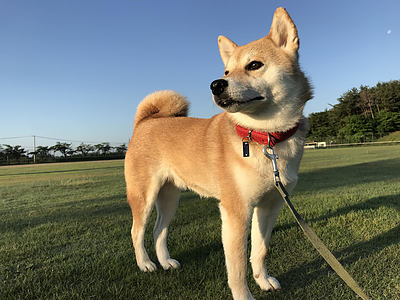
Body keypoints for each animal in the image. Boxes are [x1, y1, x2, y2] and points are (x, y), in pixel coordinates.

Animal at [125, 7, 312, 300]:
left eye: (254, 65)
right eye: (226, 70)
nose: (216, 84)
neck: (266, 138)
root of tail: (146, 122)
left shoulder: (270, 205)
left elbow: (260, 250)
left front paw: (263, 280)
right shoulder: (236, 211)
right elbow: (237, 267)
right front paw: (244, 295)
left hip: (170, 198)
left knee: (158, 231)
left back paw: (165, 261)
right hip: (144, 195)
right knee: (137, 231)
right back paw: (145, 263)